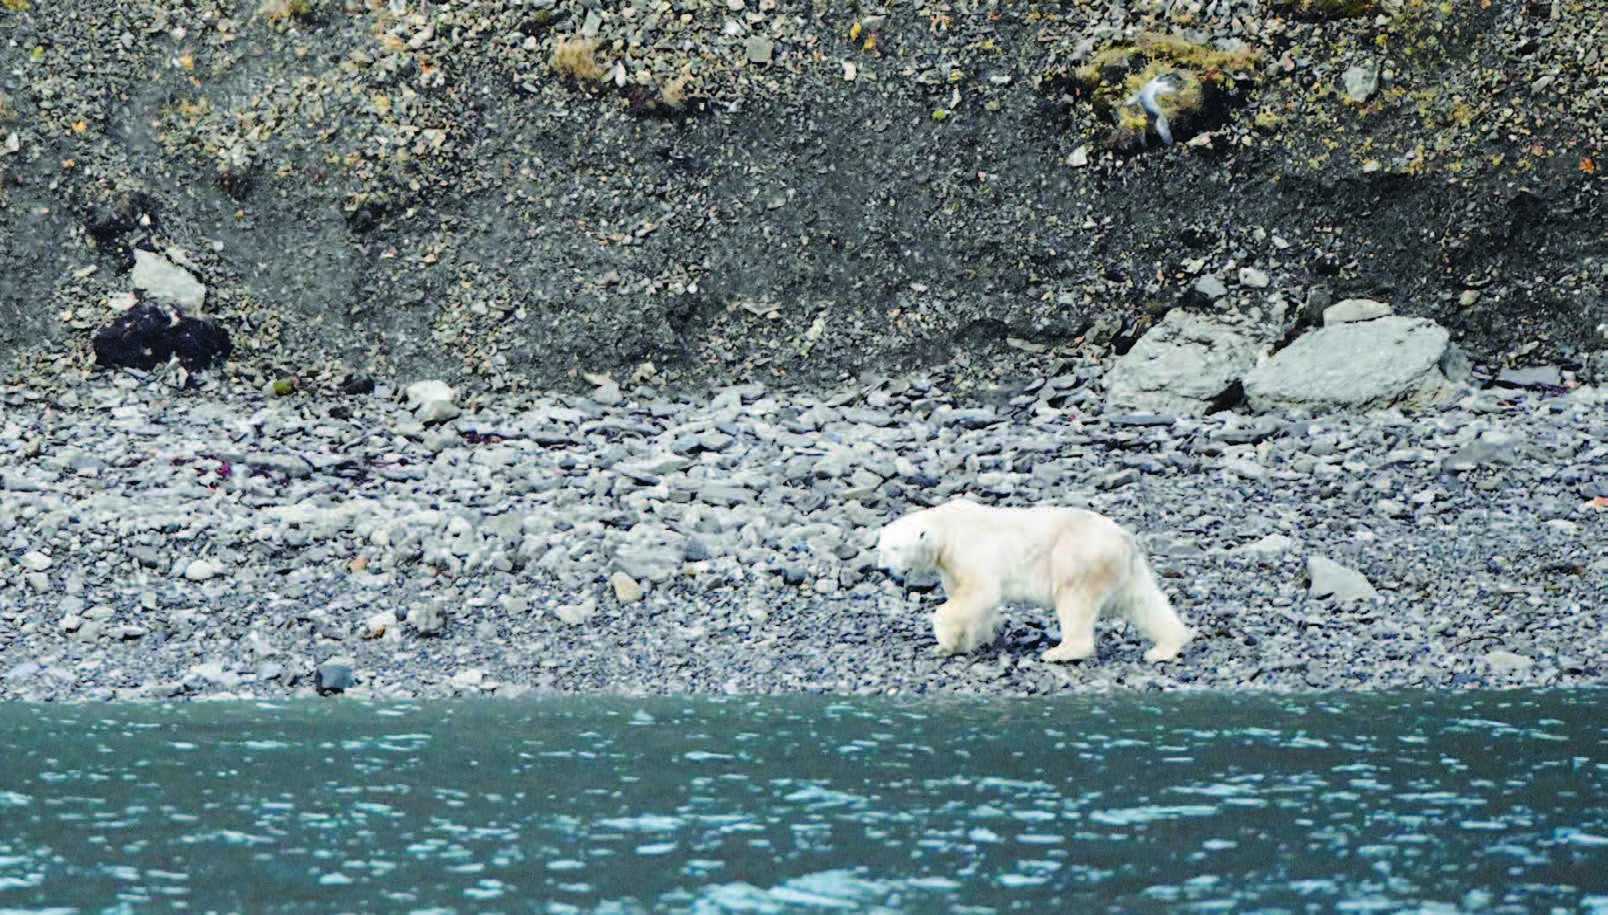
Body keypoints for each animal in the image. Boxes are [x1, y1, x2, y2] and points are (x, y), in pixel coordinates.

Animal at [881, 498, 1196, 662]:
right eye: (881, 547)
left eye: (895, 548)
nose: (884, 569)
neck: (946, 529)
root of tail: (1123, 537)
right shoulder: (950, 564)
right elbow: (974, 603)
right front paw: (970, 641)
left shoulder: (969, 549)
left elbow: (980, 592)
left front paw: (944, 643)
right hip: (1126, 568)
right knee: (1144, 602)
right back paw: (1165, 647)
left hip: (1078, 557)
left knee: (1075, 602)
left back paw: (1061, 652)